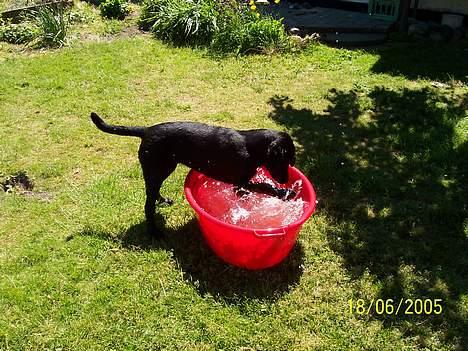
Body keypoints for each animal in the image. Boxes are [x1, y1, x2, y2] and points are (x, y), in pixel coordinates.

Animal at [90, 114, 296, 238]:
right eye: (284, 160)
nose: (286, 180)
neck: (251, 146)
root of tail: (146, 130)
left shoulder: (241, 186)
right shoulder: (239, 182)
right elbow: (264, 186)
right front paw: (284, 193)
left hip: (163, 169)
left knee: (153, 193)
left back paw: (163, 201)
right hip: (156, 168)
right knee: (148, 204)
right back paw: (154, 232)